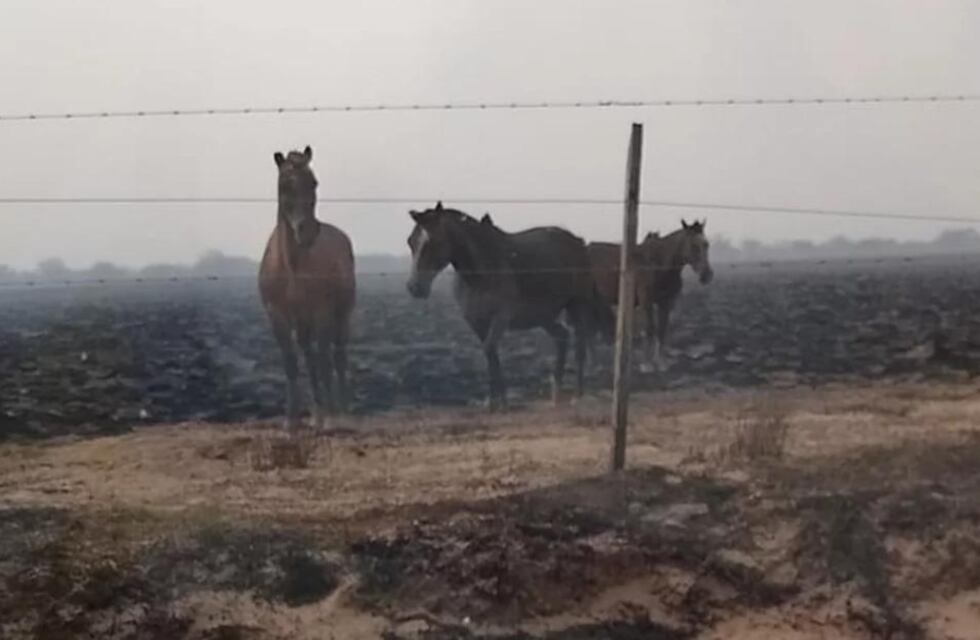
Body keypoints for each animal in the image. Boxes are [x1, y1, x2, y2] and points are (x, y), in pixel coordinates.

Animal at [258, 146, 356, 429]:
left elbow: (324, 360)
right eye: (285, 185)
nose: (308, 232)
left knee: (337, 355)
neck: (292, 266)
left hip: (341, 313)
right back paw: (317, 412)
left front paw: (331, 416)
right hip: (302, 323)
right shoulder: (277, 315)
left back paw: (340, 411)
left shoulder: (321, 311)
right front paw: (292, 420)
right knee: (309, 355)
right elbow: (291, 362)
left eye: (314, 183)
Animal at [405, 202, 613, 409]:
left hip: (577, 305)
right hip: (543, 316)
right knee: (562, 336)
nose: (414, 288)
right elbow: (491, 354)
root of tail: (579, 242)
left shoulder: (501, 317)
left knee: (581, 346)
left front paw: (497, 402)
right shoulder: (476, 322)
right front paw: (497, 401)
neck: (481, 271)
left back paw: (578, 395)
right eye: (410, 242)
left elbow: (490, 349)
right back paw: (556, 394)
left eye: (433, 242)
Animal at [588, 219, 713, 372]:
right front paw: (646, 364)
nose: (707, 275)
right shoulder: (646, 302)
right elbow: (649, 329)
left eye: (706, 244)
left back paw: (595, 363)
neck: (658, 263)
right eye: (693, 245)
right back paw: (594, 364)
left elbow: (662, 330)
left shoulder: (666, 302)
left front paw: (661, 362)